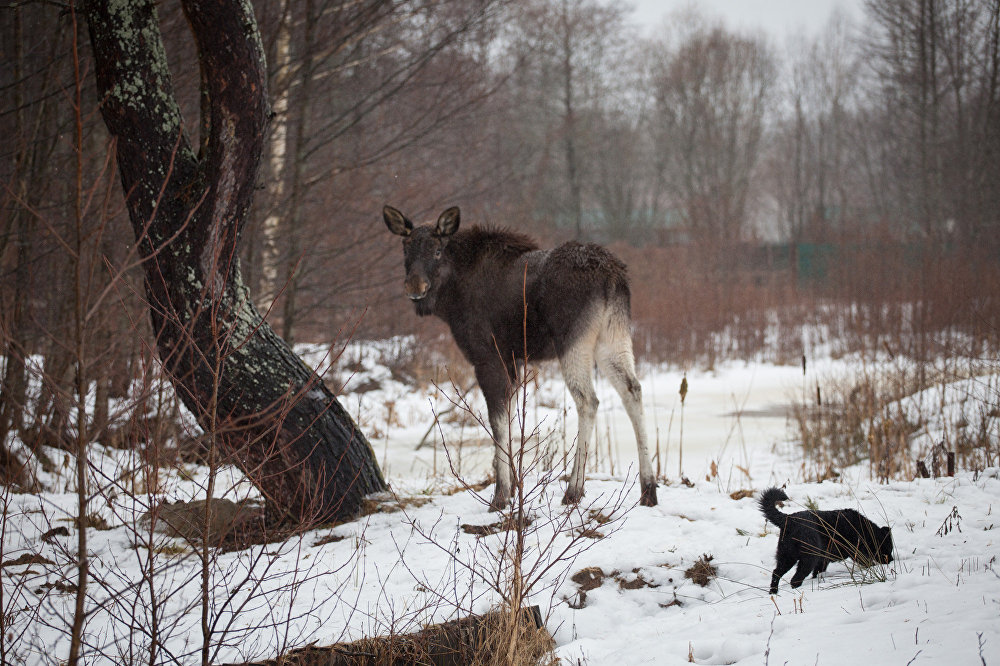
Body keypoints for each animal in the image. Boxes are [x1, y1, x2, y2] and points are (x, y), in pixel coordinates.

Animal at [760, 488, 896, 592]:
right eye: (887, 548)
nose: (891, 561)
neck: (864, 530)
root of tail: (788, 519)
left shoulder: (823, 561)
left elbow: (817, 572)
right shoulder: (857, 553)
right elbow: (868, 562)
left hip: (787, 557)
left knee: (776, 573)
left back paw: (774, 592)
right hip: (808, 558)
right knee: (795, 579)